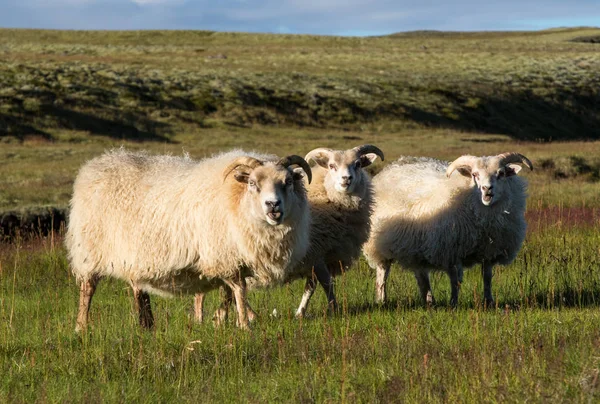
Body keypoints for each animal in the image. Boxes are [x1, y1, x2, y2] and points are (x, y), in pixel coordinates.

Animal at [66, 148, 312, 332]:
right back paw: (81, 326)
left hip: (134, 255)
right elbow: (239, 291)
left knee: (138, 289)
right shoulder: (226, 257)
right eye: (252, 183)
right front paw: (244, 325)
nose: (273, 205)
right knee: (87, 289)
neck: (236, 199)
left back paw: (147, 325)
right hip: (89, 250)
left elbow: (228, 294)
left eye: (288, 181)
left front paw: (222, 320)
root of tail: (96, 164)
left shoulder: (227, 258)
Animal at [195, 145, 386, 322]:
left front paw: (301, 313)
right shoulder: (316, 254)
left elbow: (311, 286)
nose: (346, 179)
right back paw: (204, 319)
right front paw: (335, 309)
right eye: (332, 166)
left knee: (225, 290)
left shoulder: (318, 258)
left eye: (358, 164)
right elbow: (326, 283)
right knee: (205, 292)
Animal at [364, 153, 532, 308]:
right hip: (380, 244)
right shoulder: (451, 251)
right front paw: (454, 303)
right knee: (383, 272)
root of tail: (395, 165)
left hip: (416, 244)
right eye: (474, 174)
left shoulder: (489, 251)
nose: (487, 189)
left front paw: (489, 302)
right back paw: (382, 299)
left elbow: (487, 278)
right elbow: (455, 280)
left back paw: (429, 301)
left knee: (421, 274)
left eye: (501, 173)